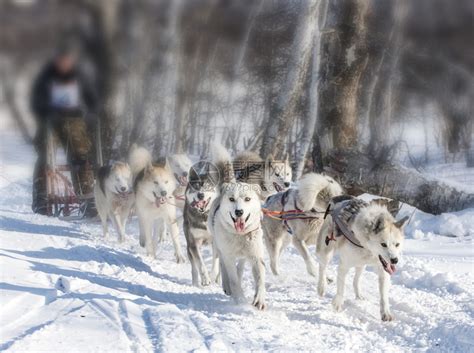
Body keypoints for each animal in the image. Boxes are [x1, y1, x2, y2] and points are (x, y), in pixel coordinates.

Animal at [207, 143, 266, 308]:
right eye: (232, 199)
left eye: (247, 199)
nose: (239, 212)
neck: (240, 235)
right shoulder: (228, 255)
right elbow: (233, 280)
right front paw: (240, 300)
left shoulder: (256, 256)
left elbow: (260, 278)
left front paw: (259, 300)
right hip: (219, 247)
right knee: (224, 267)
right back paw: (227, 287)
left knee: (240, 266)